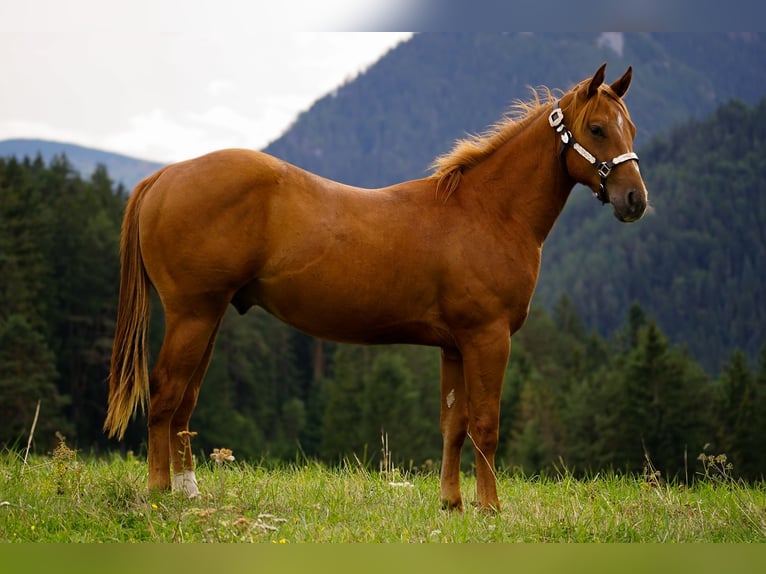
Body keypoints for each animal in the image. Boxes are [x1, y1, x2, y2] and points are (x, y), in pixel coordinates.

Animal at [104, 63, 647, 511]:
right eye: (597, 128)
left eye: (632, 128)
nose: (635, 200)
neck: (487, 211)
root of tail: (163, 175)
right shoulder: (487, 338)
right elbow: (485, 425)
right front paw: (491, 508)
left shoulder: (454, 346)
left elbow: (454, 425)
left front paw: (452, 504)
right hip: (192, 315)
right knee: (166, 392)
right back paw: (160, 491)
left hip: (209, 318)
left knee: (185, 400)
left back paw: (188, 490)